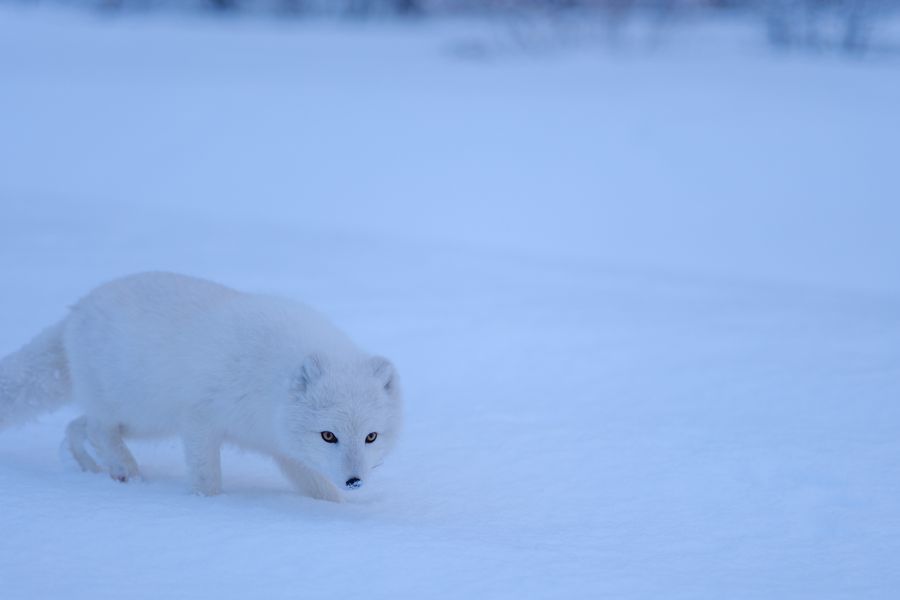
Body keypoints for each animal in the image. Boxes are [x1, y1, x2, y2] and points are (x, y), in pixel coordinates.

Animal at [0, 272, 402, 502]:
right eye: (328, 435)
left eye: (371, 437)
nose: (354, 481)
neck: (268, 385)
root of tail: (76, 309)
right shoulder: (199, 419)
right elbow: (206, 475)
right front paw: (205, 507)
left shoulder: (283, 447)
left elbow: (319, 489)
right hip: (135, 409)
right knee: (98, 428)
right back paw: (127, 471)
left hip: (146, 422)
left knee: (76, 425)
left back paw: (90, 468)